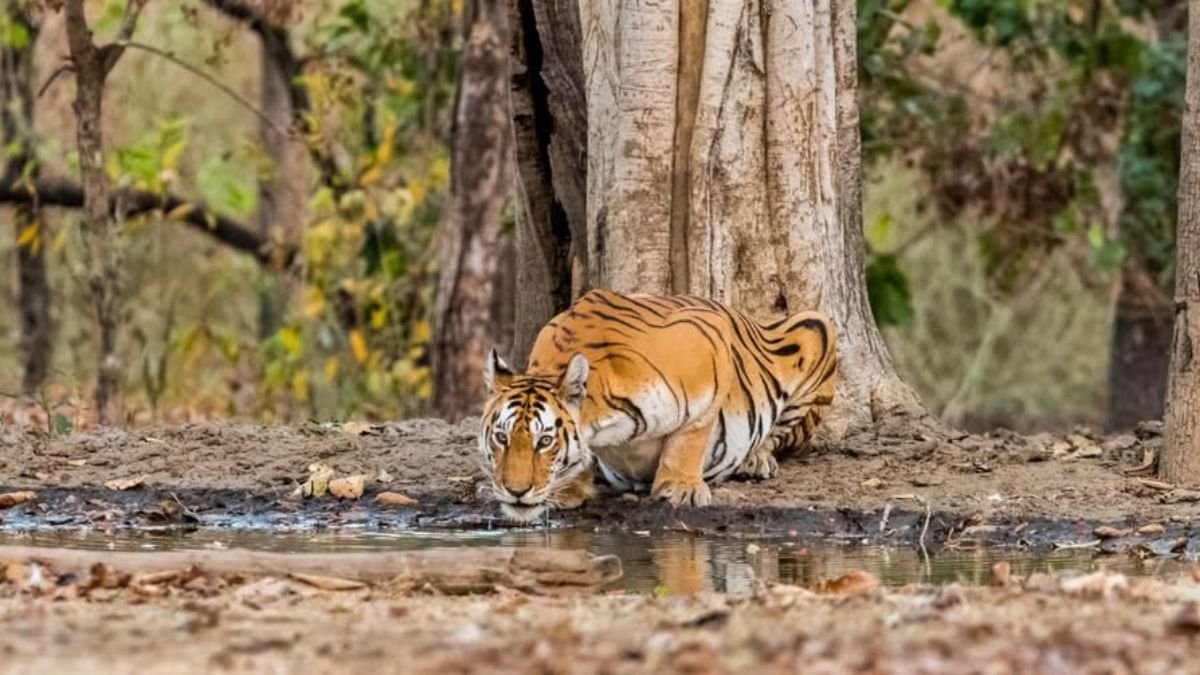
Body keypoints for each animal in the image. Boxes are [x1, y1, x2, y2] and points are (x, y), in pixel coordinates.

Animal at [479, 288, 837, 523]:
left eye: (545, 441)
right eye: (501, 437)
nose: (515, 491)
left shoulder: (708, 344)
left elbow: (690, 435)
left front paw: (679, 488)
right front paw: (569, 488)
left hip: (818, 326)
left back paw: (756, 459)